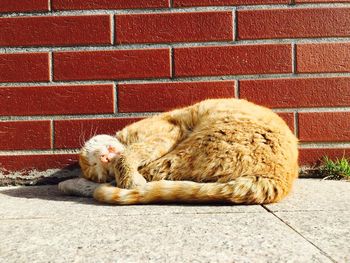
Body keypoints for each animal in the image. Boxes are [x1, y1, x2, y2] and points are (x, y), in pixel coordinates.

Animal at [58, 98, 300, 205]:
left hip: (191, 147)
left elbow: (127, 160)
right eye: (98, 166)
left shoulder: (166, 133)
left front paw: (127, 175)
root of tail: (278, 179)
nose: (105, 157)